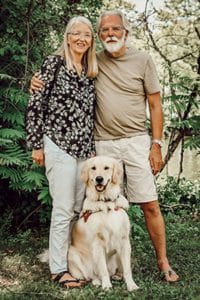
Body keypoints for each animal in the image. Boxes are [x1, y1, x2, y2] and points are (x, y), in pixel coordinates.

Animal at [67, 156, 139, 292]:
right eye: (93, 168)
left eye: (106, 168)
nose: (99, 179)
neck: (106, 202)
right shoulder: (97, 243)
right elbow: (103, 269)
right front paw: (106, 285)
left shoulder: (124, 241)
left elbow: (127, 269)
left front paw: (131, 285)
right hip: (73, 254)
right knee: (89, 275)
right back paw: (97, 281)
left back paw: (117, 276)